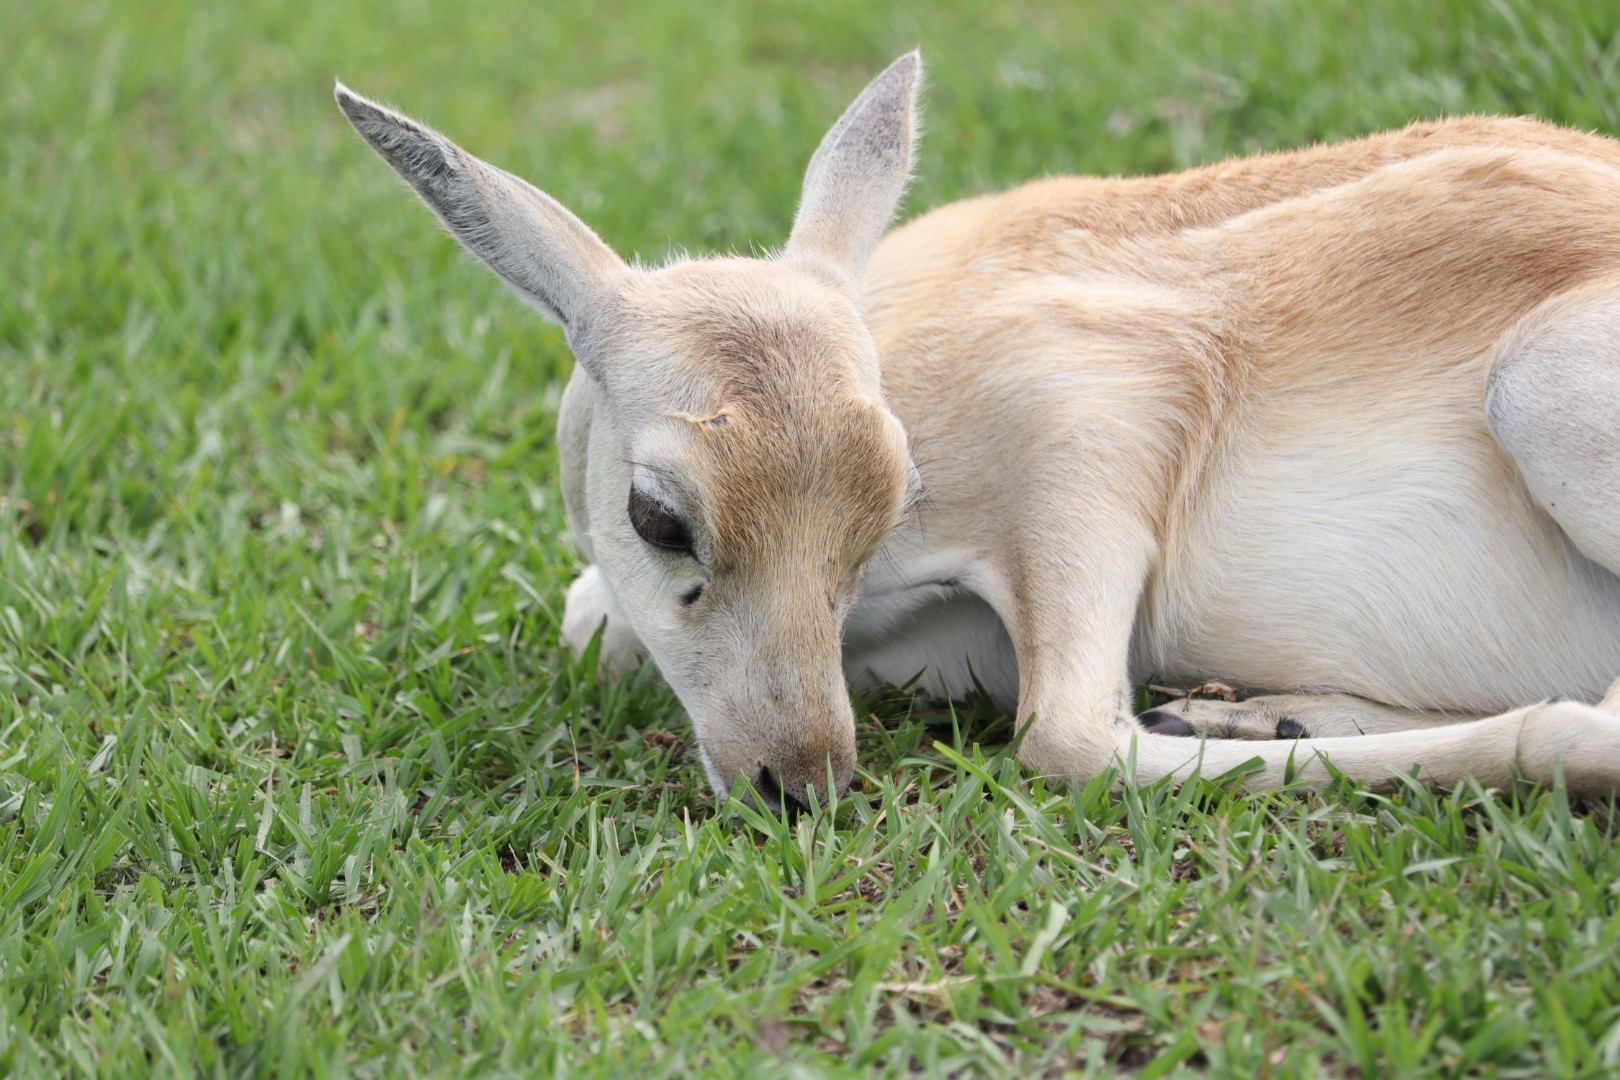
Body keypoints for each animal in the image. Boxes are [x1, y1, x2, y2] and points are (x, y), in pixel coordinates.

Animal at [337, 52, 1620, 812]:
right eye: (658, 519)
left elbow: (1071, 738)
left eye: (891, 494)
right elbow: (588, 620)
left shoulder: (1099, 408)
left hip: (1537, 389)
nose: (800, 780)